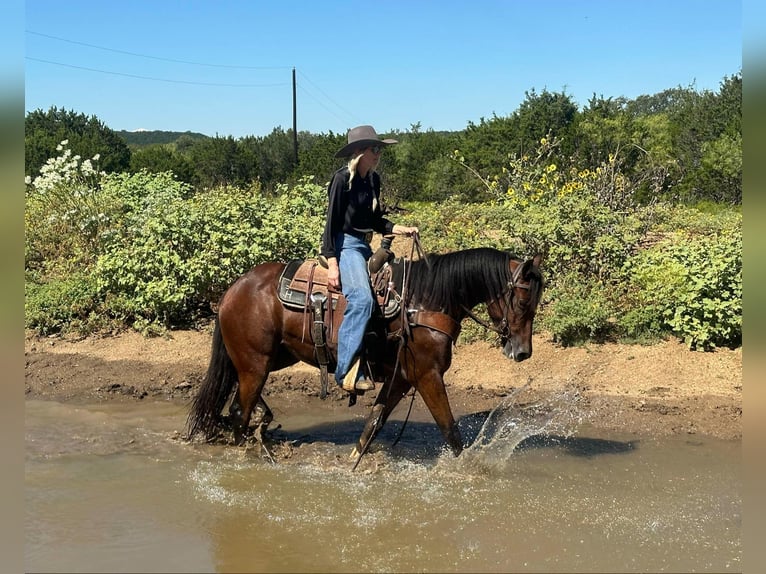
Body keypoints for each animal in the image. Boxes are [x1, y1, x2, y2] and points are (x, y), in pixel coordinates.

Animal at [187, 248, 544, 464]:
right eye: (522, 301)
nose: (522, 352)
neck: (426, 303)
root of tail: (232, 290)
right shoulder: (427, 376)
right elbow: (450, 430)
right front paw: (468, 467)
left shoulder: (403, 378)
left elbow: (374, 422)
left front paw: (353, 462)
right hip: (255, 363)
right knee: (239, 411)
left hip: (271, 358)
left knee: (240, 404)